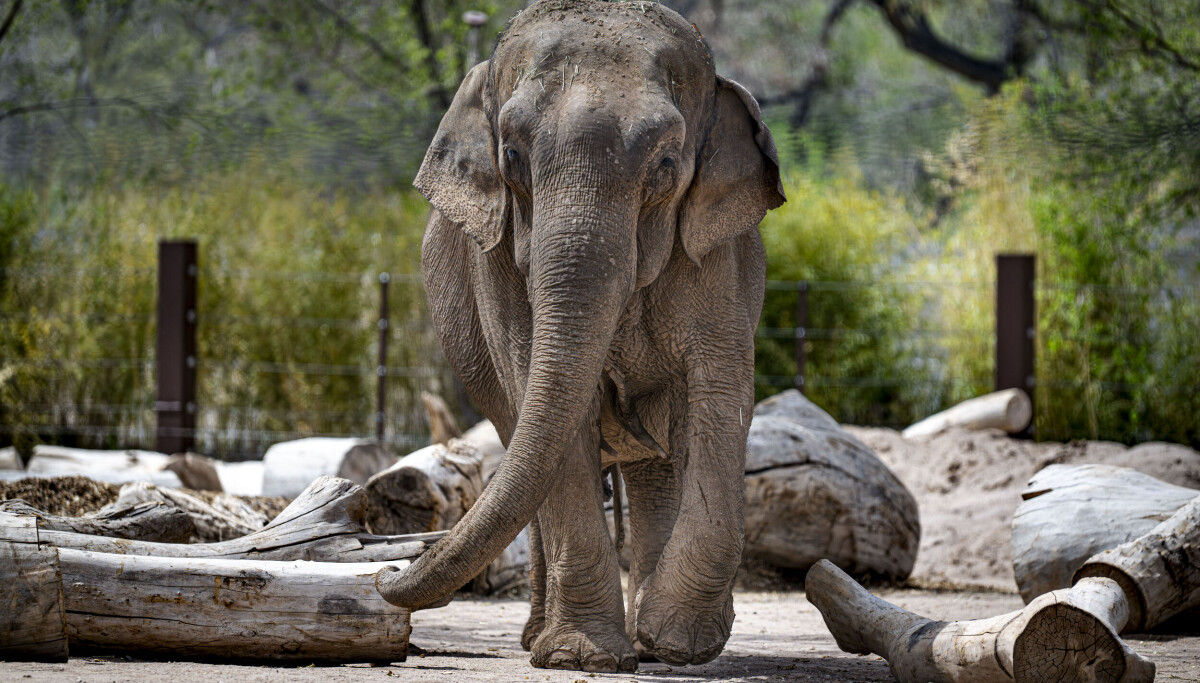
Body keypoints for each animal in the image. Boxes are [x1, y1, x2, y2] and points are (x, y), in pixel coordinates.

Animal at [376, 0, 785, 673]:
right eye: (513, 157)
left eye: (666, 164)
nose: (384, 572)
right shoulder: (499, 263)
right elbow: (551, 403)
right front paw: (582, 659)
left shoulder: (719, 257)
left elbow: (721, 399)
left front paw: (679, 644)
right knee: (523, 445)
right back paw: (541, 640)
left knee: (655, 464)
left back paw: (649, 641)